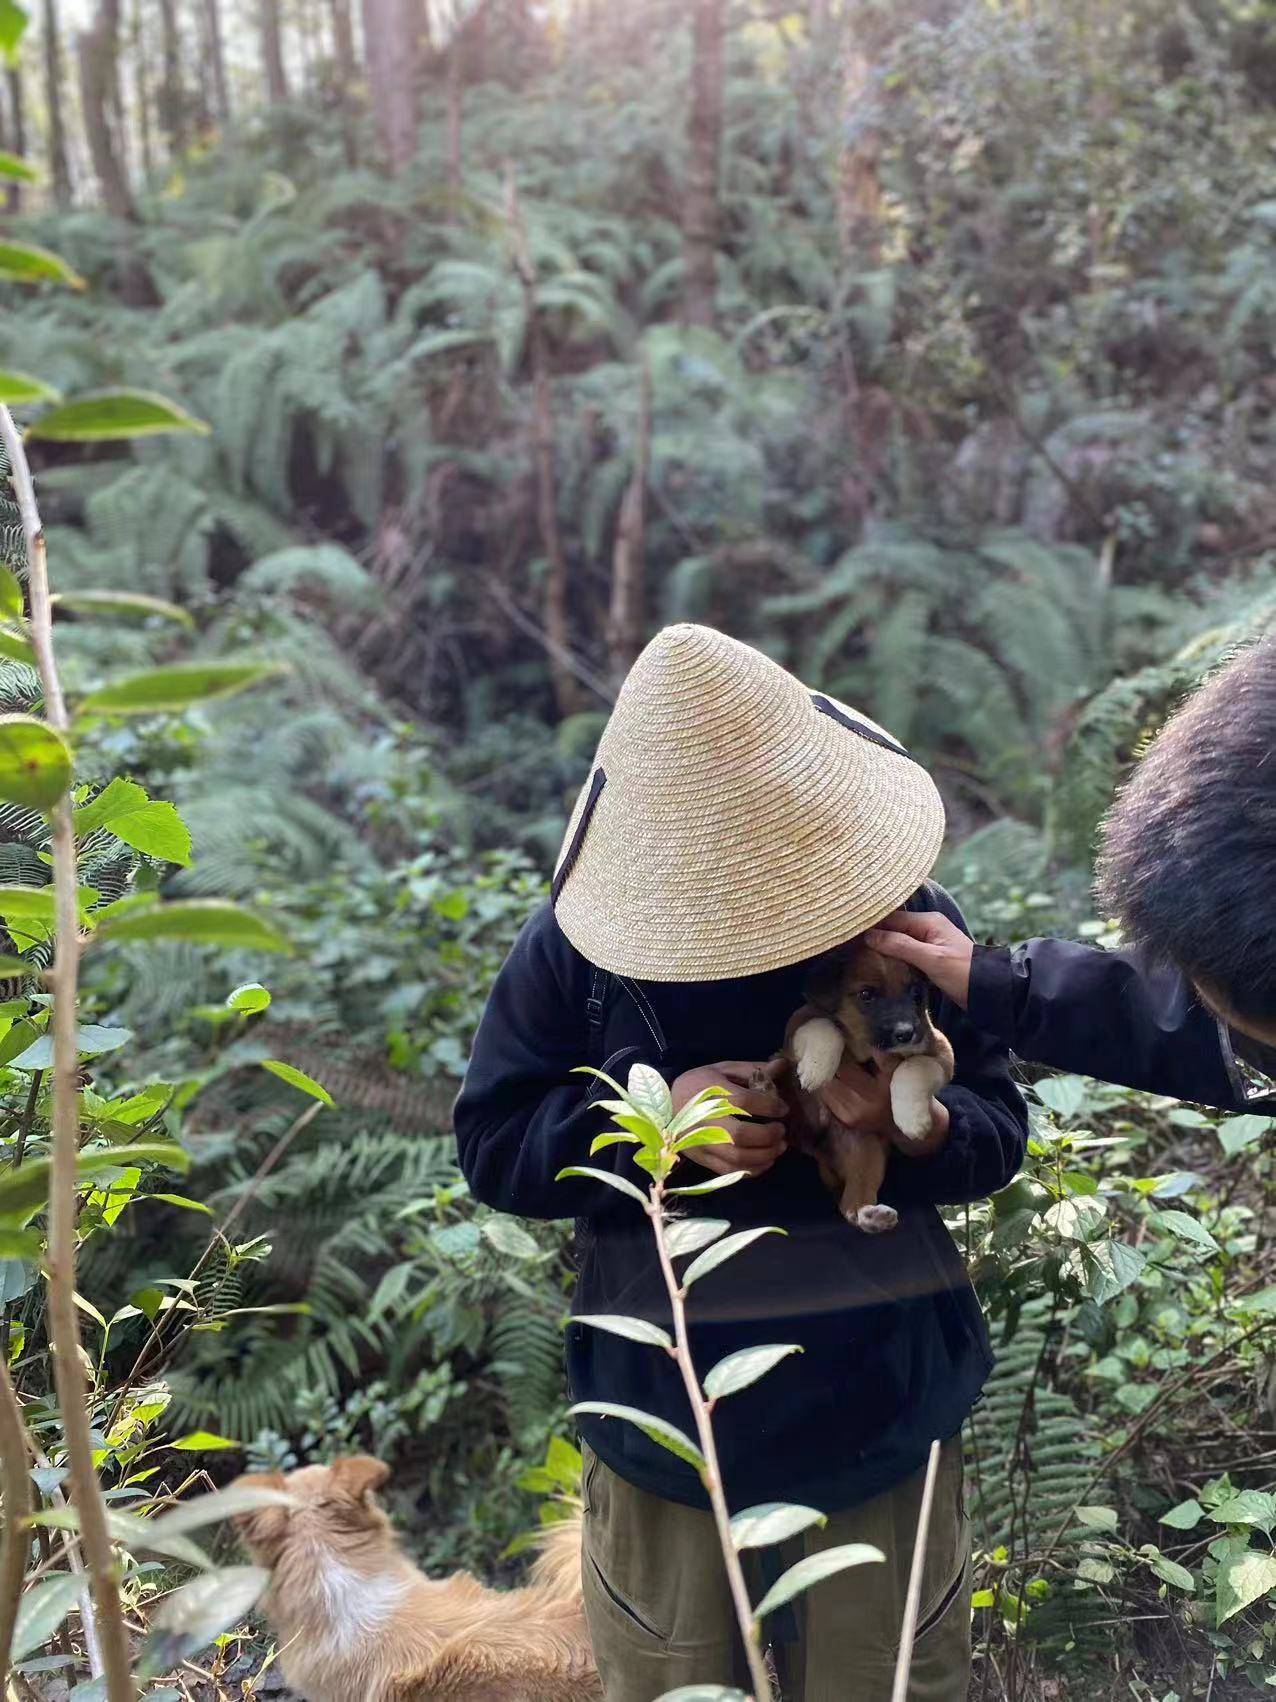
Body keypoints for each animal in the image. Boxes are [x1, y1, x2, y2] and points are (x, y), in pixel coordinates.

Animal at [758, 946, 952, 1239]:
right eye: (866, 995)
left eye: (917, 994)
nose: (905, 1033)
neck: (864, 1049)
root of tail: (815, 1144)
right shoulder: (796, 1025)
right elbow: (825, 1027)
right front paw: (816, 1069)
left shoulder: (940, 1051)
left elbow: (913, 1066)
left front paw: (912, 1120)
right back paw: (761, 1088)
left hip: (866, 1150)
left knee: (850, 1203)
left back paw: (871, 1216)